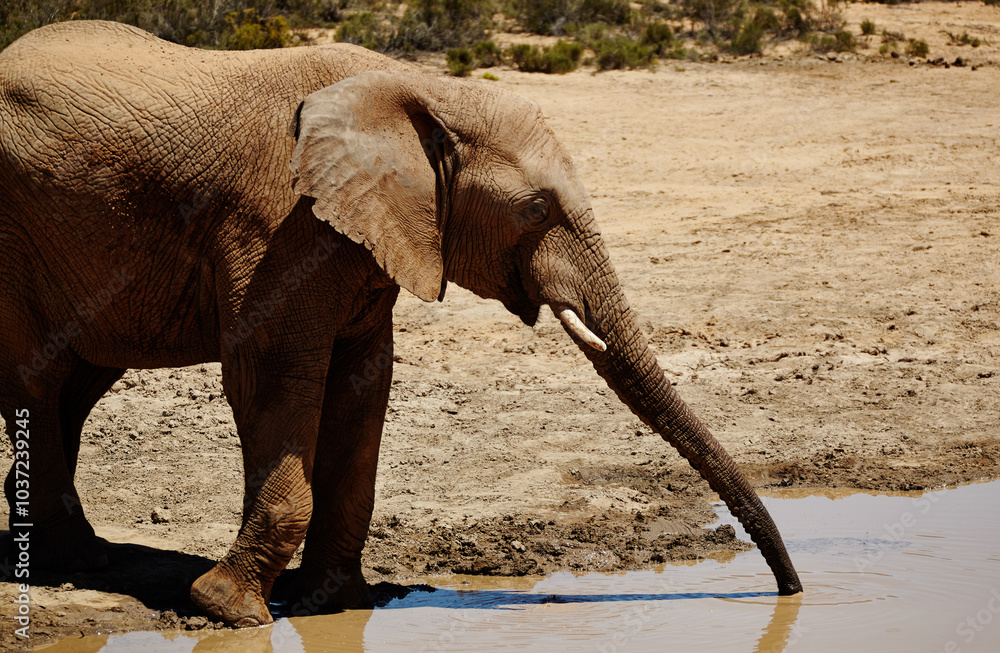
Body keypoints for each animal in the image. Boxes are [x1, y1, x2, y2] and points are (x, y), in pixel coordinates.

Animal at [0, 19, 800, 620]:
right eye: (537, 209)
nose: (792, 592)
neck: (421, 91)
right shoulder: (276, 226)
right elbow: (270, 379)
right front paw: (227, 609)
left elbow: (363, 385)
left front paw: (333, 603)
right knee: (38, 379)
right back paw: (61, 562)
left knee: (79, 380)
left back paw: (78, 551)